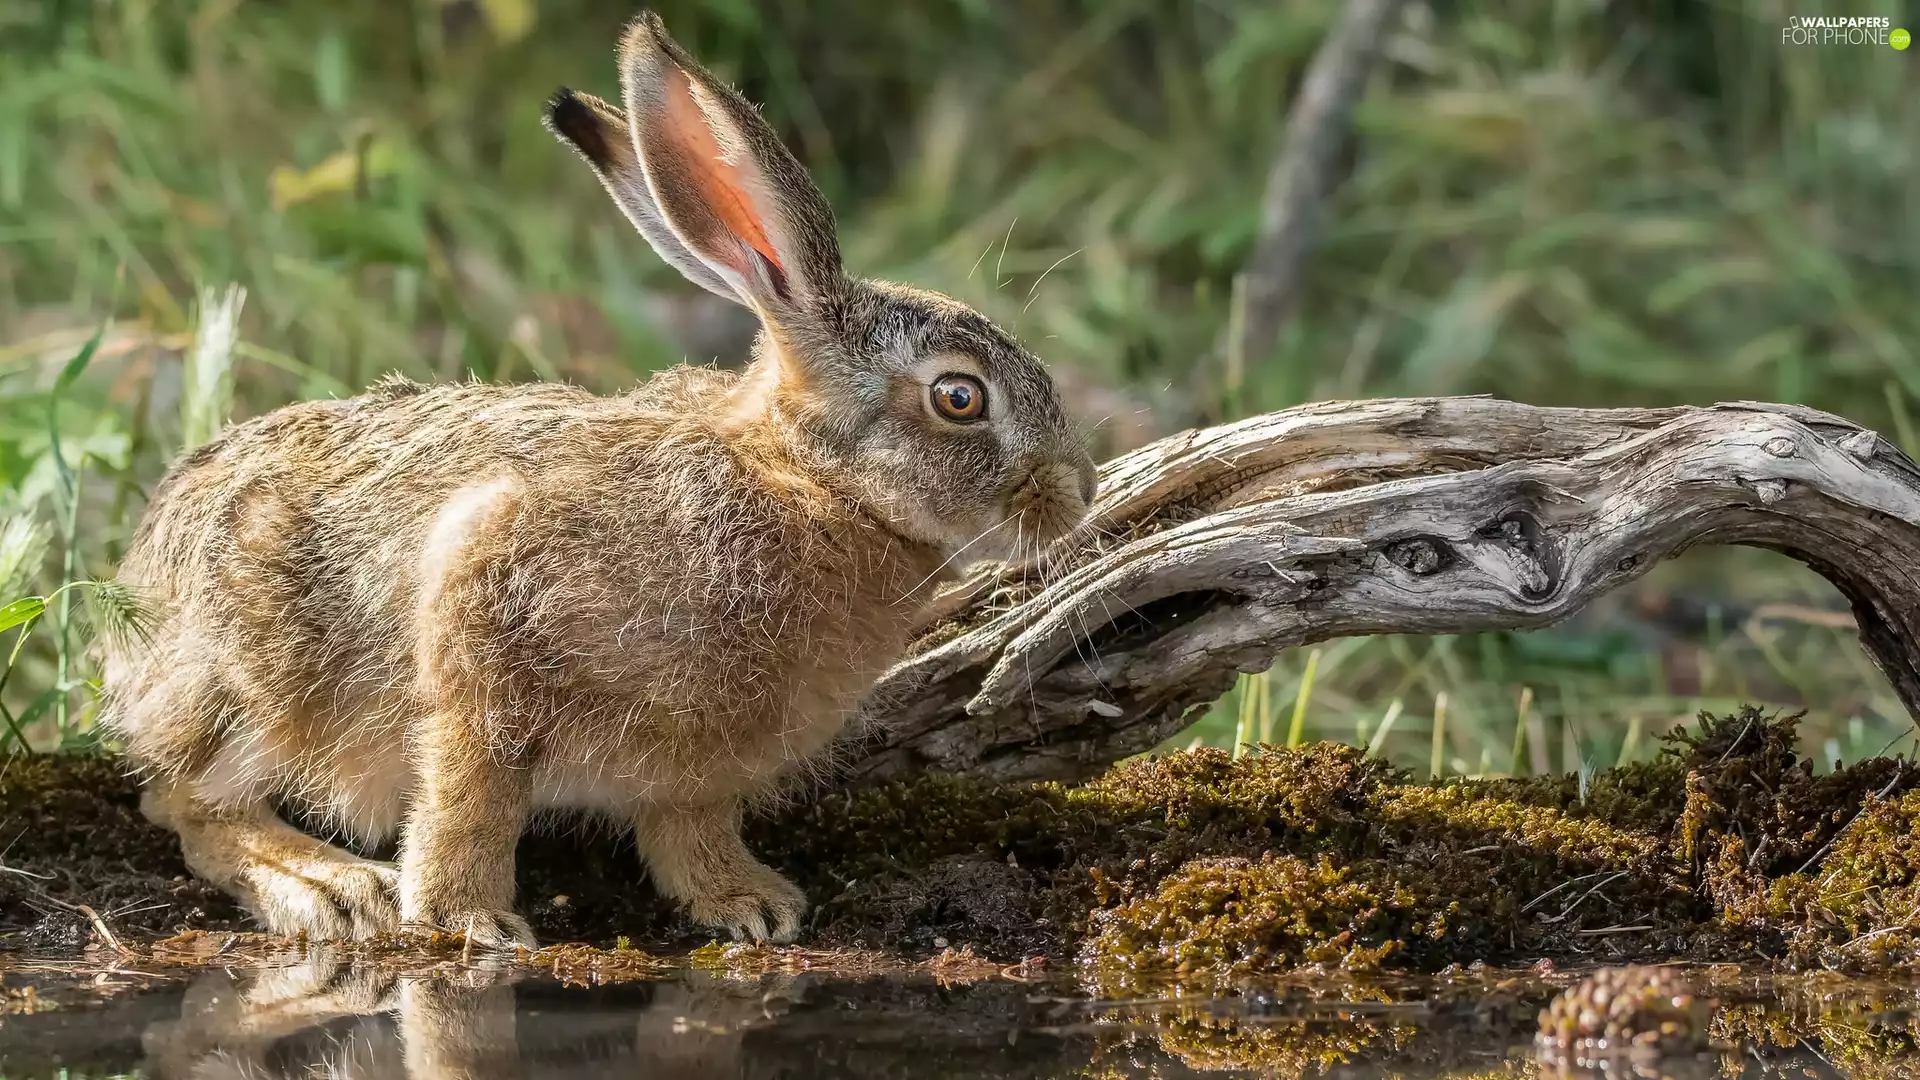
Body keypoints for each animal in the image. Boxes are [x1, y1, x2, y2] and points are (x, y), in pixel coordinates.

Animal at [99, 8, 1096, 950]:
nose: (1077, 492)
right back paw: (331, 886)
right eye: (960, 397)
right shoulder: (482, 603)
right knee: (186, 805)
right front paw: (466, 920)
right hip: (253, 688)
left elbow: (689, 826)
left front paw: (749, 904)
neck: (803, 484)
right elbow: (473, 791)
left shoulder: (702, 762)